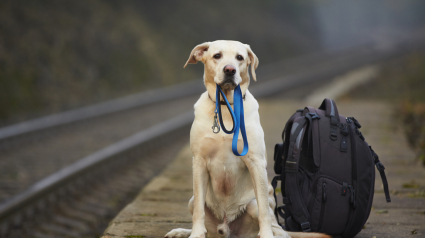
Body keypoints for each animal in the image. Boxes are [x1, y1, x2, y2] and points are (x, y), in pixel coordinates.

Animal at [163, 40, 328, 238]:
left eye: (239, 57)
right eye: (217, 55)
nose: (230, 70)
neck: (226, 107)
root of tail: (227, 228)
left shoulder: (255, 162)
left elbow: (264, 210)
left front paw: (266, 235)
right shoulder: (199, 162)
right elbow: (198, 212)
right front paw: (195, 234)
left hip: (254, 205)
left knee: (279, 229)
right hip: (193, 200)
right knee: (203, 218)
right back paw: (181, 231)